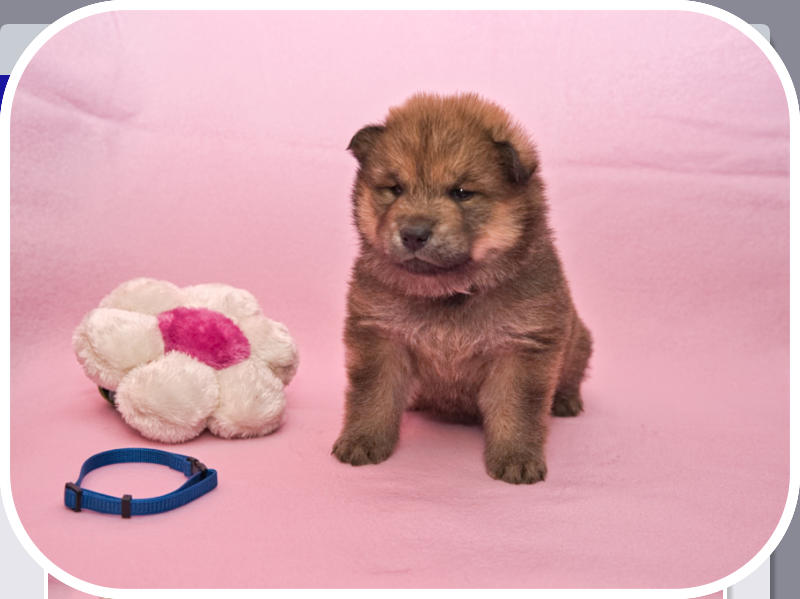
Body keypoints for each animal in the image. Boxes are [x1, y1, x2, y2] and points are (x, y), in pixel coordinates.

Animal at [332, 93, 592, 484]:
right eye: (395, 188)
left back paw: (565, 401)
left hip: (578, 341)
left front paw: (516, 459)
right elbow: (373, 396)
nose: (413, 233)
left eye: (462, 192)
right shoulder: (379, 334)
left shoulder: (523, 345)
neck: (449, 291)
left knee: (572, 374)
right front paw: (361, 441)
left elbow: (518, 408)